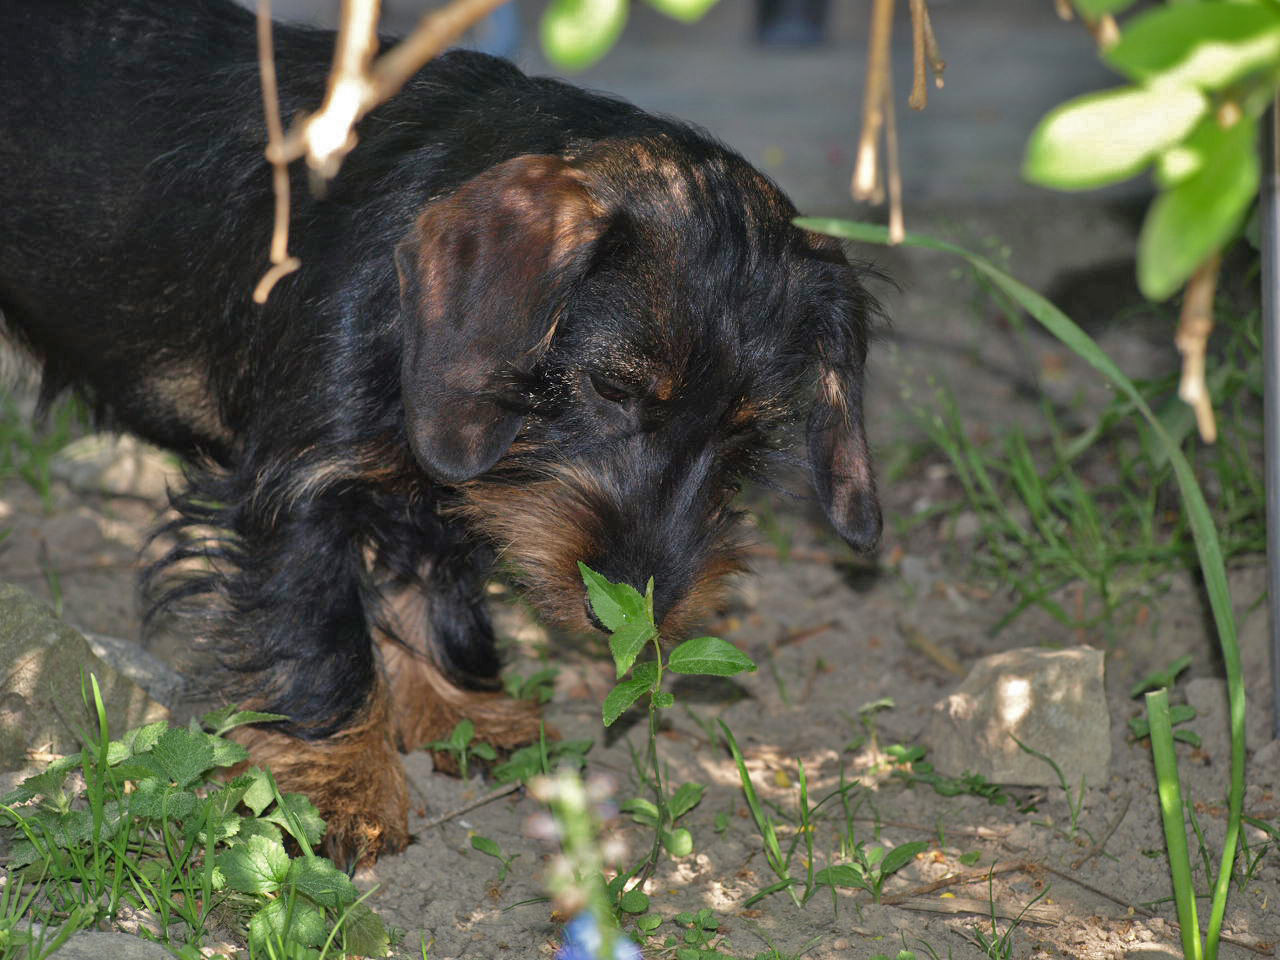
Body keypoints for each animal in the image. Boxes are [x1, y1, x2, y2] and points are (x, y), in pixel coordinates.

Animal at [0, 0, 880, 870]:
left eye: (749, 442)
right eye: (612, 386)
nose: (636, 616)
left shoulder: (439, 483)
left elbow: (434, 591)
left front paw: (462, 708)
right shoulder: (298, 486)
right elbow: (317, 629)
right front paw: (336, 782)